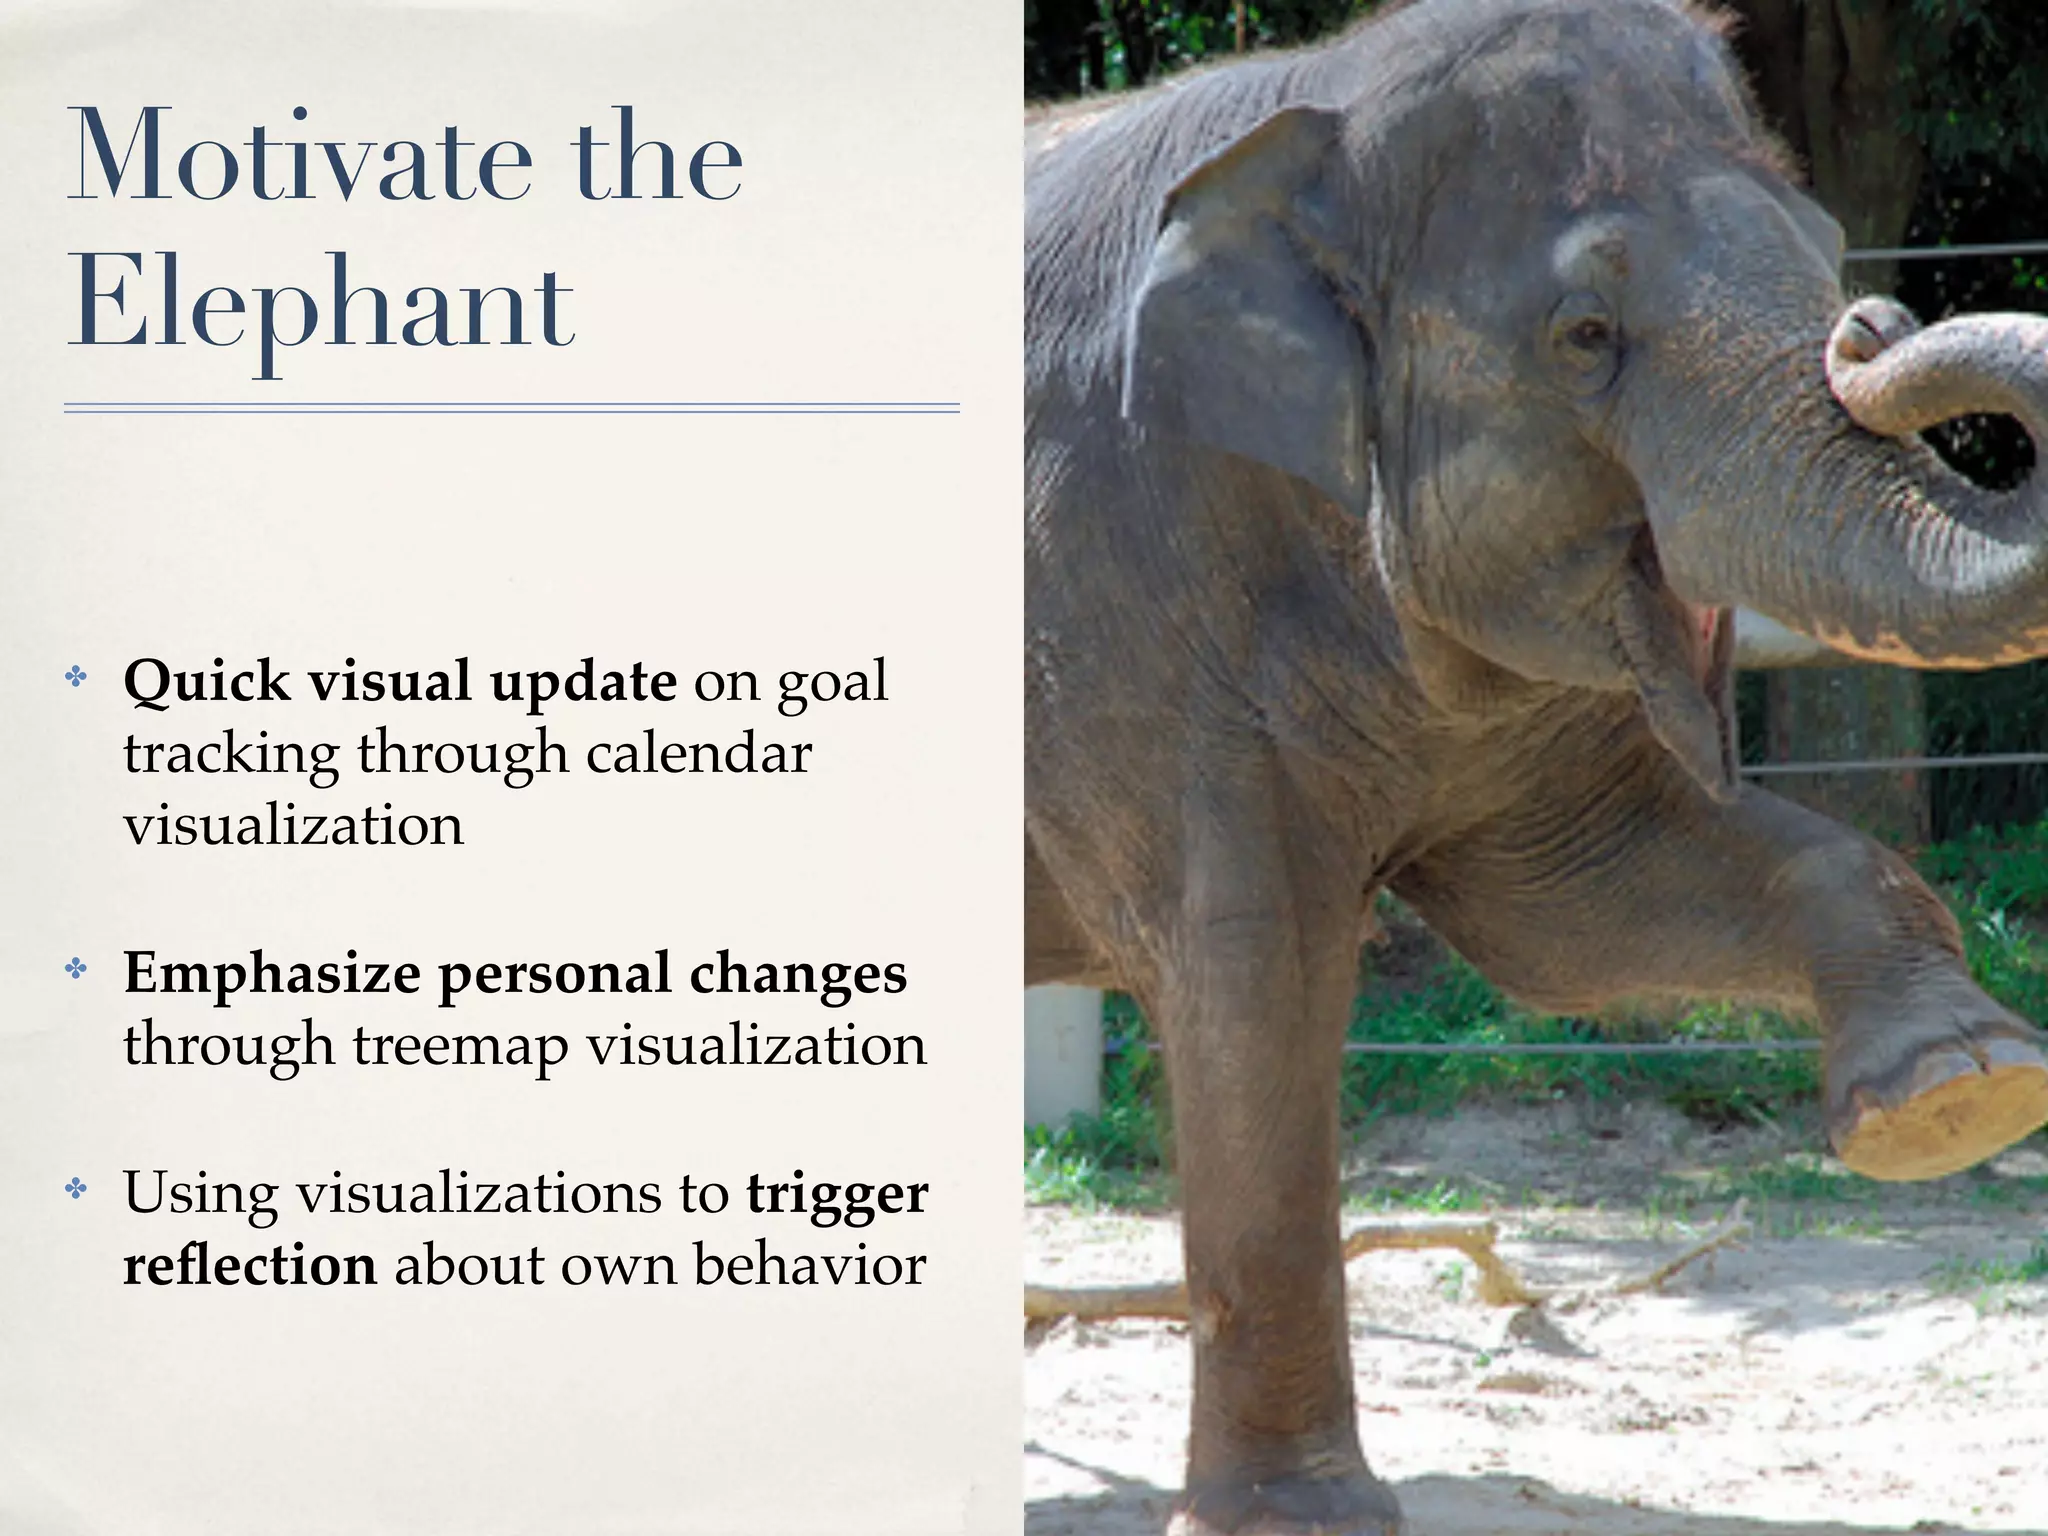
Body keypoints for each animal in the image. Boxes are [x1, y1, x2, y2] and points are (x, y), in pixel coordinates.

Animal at [1023, 0, 2048, 1531]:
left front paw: (1958, 1091)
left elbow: (1569, 916)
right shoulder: (1122, 595)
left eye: (1823, 251)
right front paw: (1296, 1522)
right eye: (1585, 335)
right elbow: (1254, 970)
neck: (1318, 107)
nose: (1872, 326)